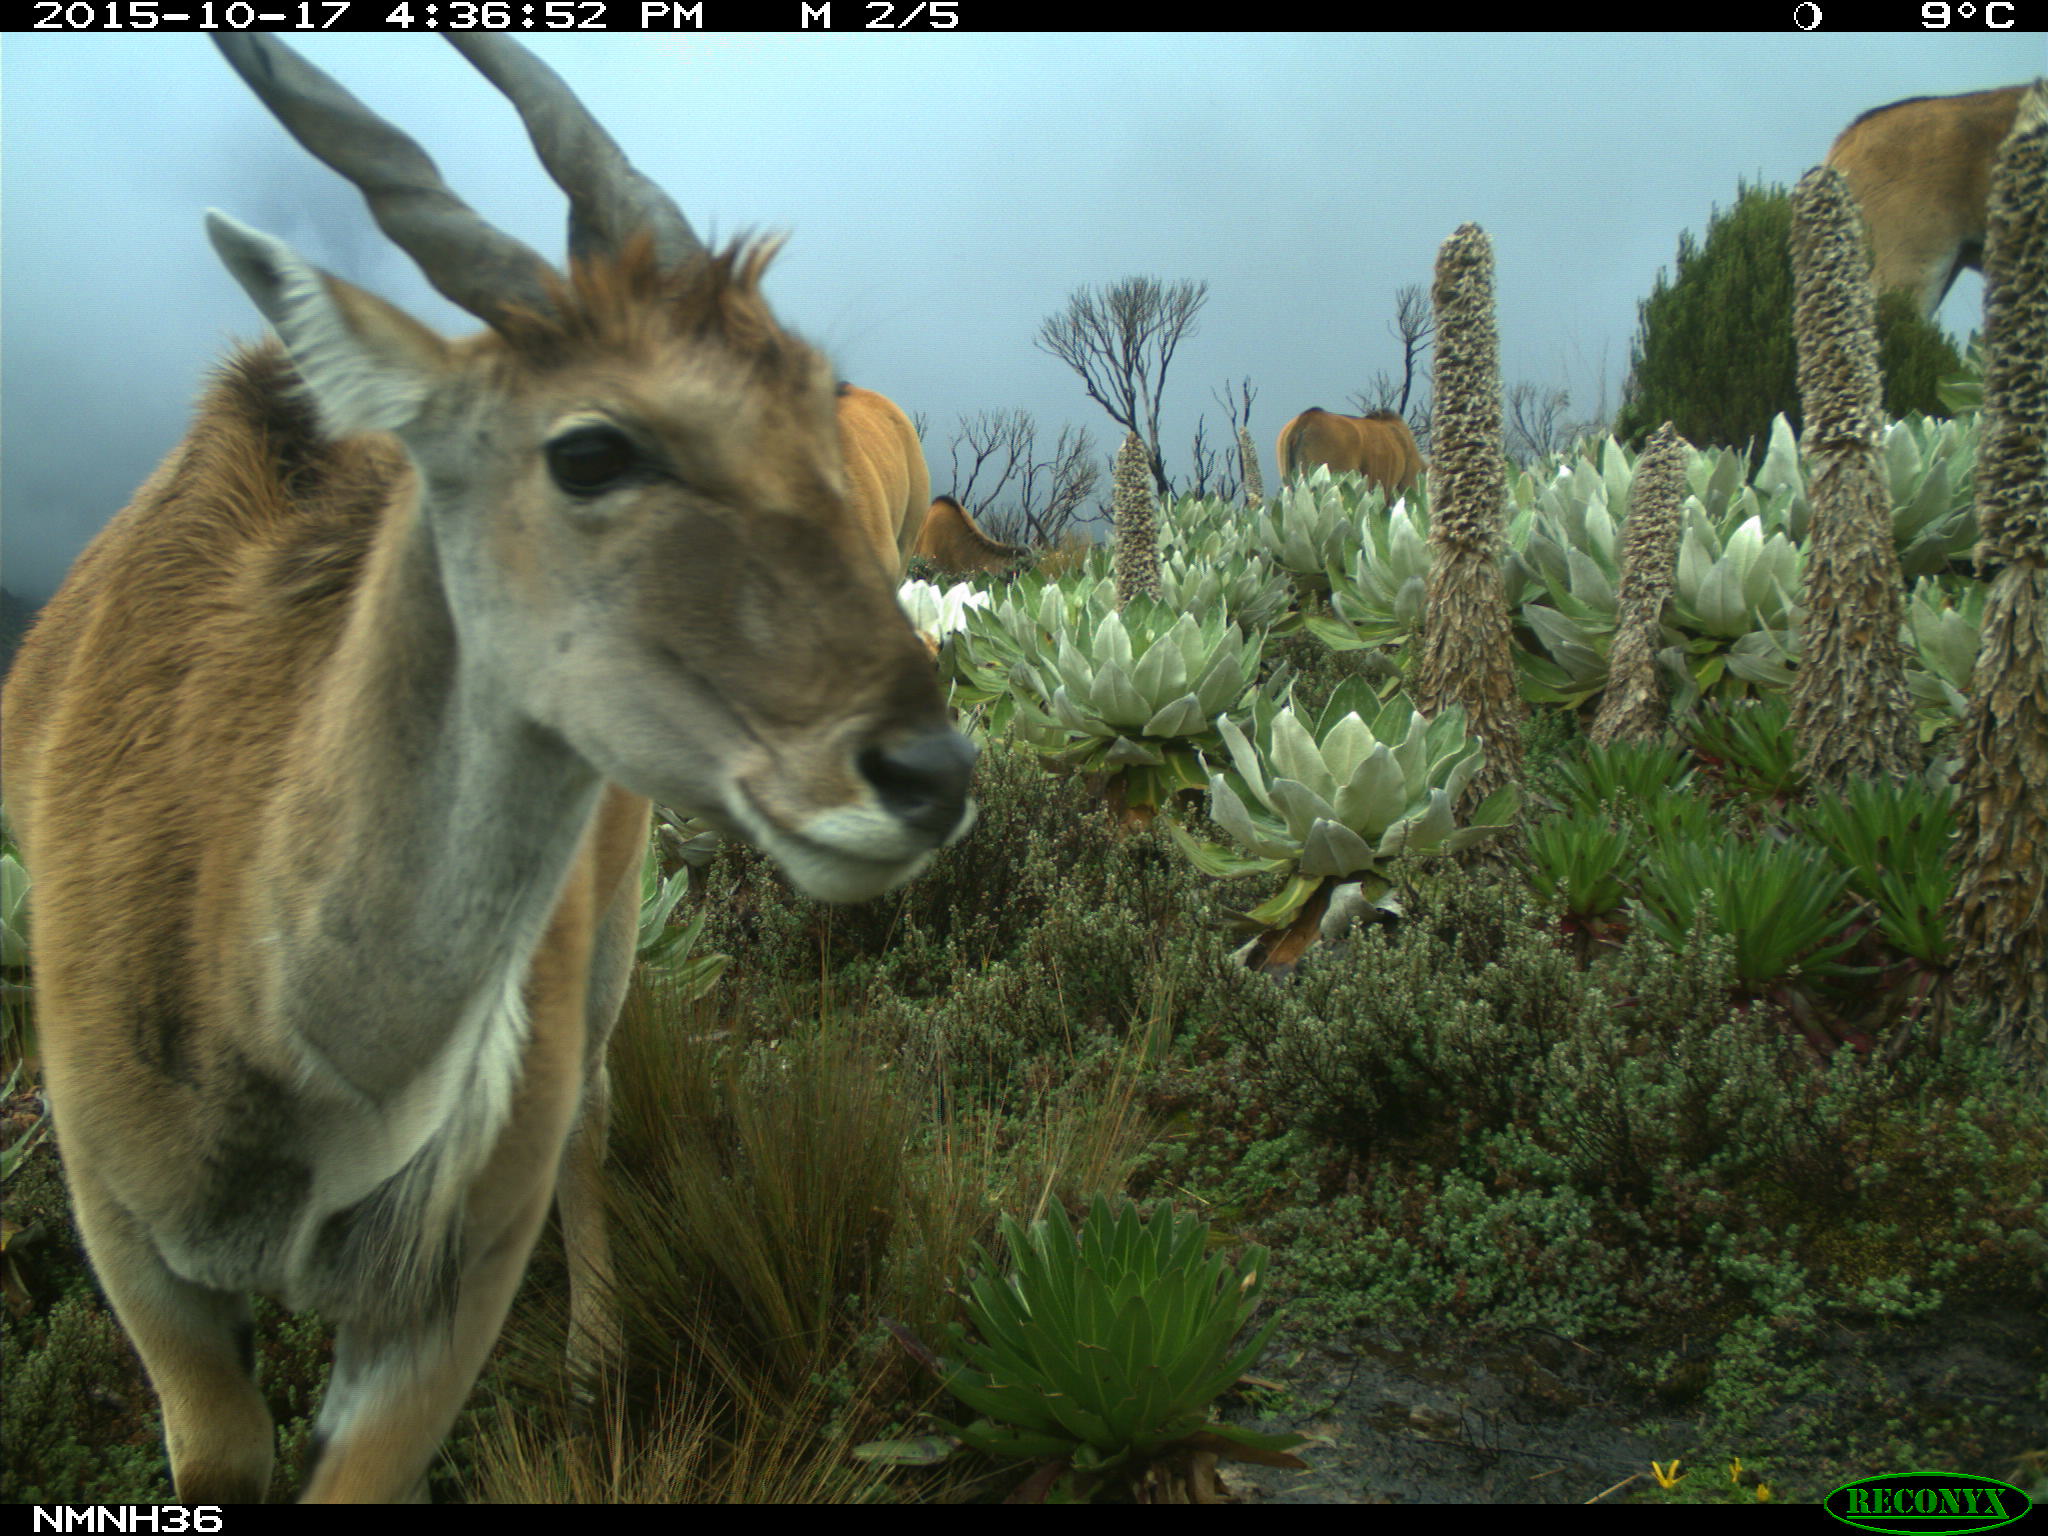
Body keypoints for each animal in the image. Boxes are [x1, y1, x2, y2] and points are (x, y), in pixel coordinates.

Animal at [2, 33, 974, 1507]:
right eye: (591, 447)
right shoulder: (135, 1257)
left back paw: (593, 1365)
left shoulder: (441, 1299)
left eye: (815, 404)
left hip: (610, 941)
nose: (927, 769)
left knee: (592, 1117)